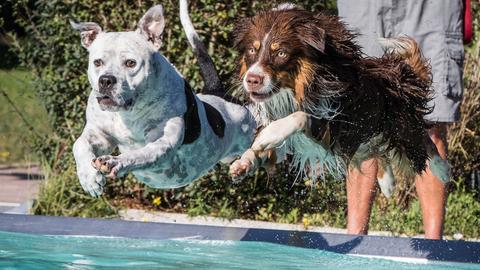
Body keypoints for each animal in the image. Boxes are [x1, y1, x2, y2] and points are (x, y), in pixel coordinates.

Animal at [71, 5, 255, 197]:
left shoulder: (162, 143)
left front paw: (116, 162)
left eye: (130, 63)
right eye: (97, 62)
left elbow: (140, 155)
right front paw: (89, 178)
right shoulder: (100, 135)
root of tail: (217, 91)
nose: (106, 80)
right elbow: (79, 144)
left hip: (247, 135)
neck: (127, 113)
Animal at [227, 3, 448, 192]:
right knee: (381, 151)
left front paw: (270, 133)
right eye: (252, 50)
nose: (252, 79)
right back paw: (387, 182)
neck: (301, 88)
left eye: (281, 53)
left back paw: (442, 169)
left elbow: (300, 117)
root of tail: (398, 76)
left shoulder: (336, 127)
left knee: (422, 139)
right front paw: (244, 162)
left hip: (401, 129)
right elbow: (261, 148)